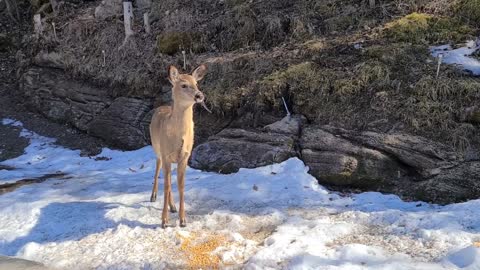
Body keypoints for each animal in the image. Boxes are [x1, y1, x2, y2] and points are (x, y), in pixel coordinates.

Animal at [150, 65, 206, 228]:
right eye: (184, 85)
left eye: (196, 83)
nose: (199, 95)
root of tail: (161, 107)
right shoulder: (166, 154)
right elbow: (167, 185)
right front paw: (164, 221)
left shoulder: (185, 156)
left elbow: (180, 185)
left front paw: (182, 220)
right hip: (157, 148)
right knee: (158, 168)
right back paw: (153, 196)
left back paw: (173, 206)